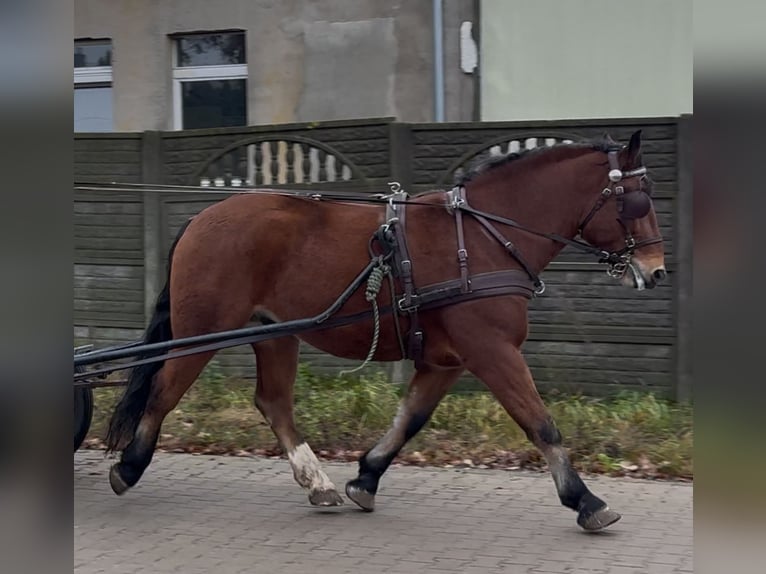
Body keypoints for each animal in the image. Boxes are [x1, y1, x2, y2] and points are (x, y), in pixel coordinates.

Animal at [103, 130, 664, 536]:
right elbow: (540, 423)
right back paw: (129, 466)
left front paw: (365, 476)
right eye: (638, 201)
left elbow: (409, 419)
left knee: (273, 403)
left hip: (274, 333)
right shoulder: (492, 352)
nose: (656, 271)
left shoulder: (446, 361)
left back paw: (318, 484)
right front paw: (585, 500)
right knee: (164, 388)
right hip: (202, 330)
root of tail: (203, 216)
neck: (482, 237)